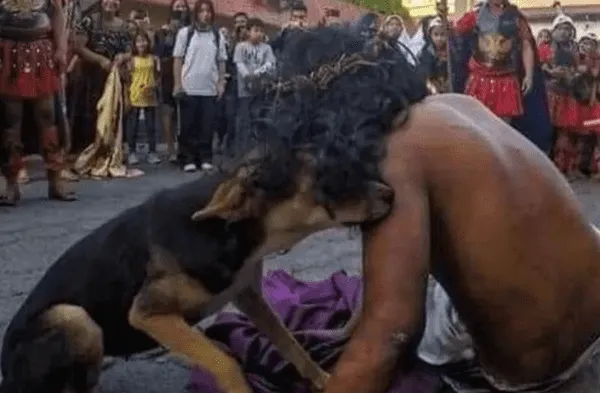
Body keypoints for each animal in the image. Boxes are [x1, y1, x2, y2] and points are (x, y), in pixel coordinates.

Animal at [0, 152, 394, 392]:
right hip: (74, 318)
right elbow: (224, 361)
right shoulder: (148, 314)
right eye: (329, 179)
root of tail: (7, 375)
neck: (226, 231)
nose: (391, 194)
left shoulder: (247, 294)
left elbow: (289, 341)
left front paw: (323, 379)